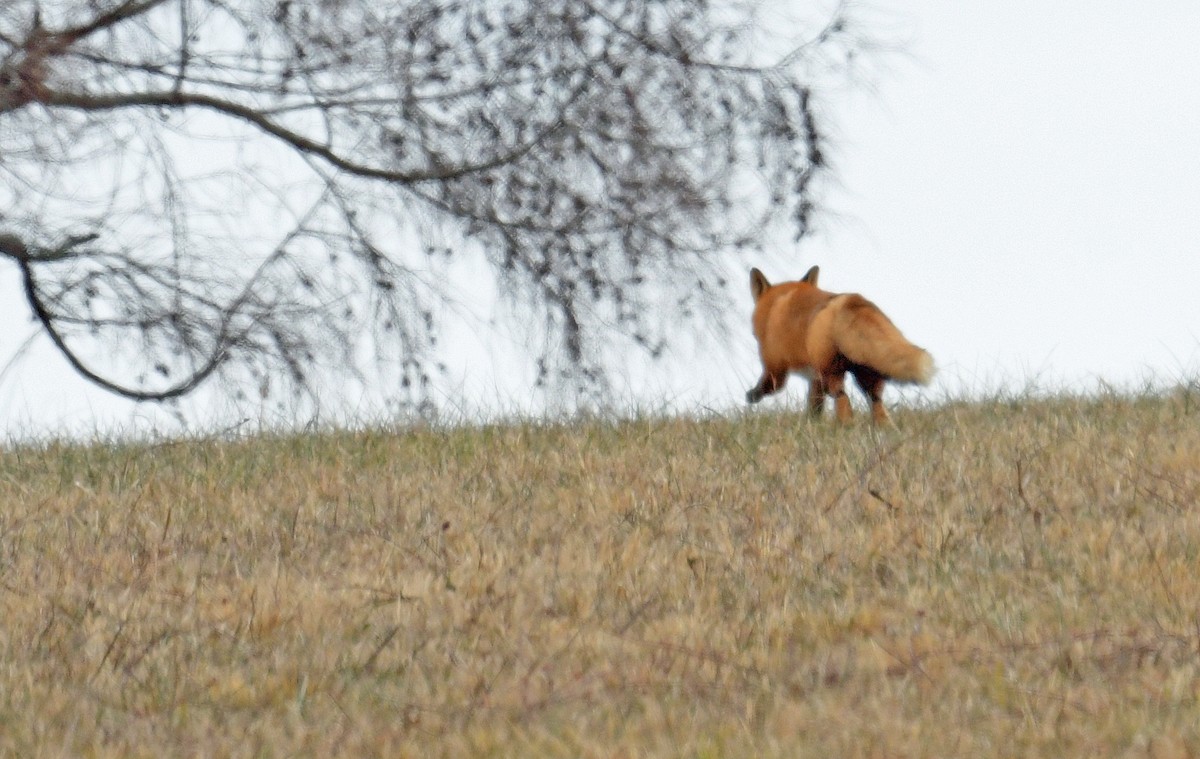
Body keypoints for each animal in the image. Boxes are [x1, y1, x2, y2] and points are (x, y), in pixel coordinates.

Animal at [745, 265, 933, 424]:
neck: (774, 307)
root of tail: (851, 300)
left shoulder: (775, 368)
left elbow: (769, 387)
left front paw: (751, 396)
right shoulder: (815, 378)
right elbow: (814, 408)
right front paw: (812, 426)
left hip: (832, 376)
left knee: (844, 401)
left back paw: (847, 428)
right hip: (865, 378)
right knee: (877, 404)